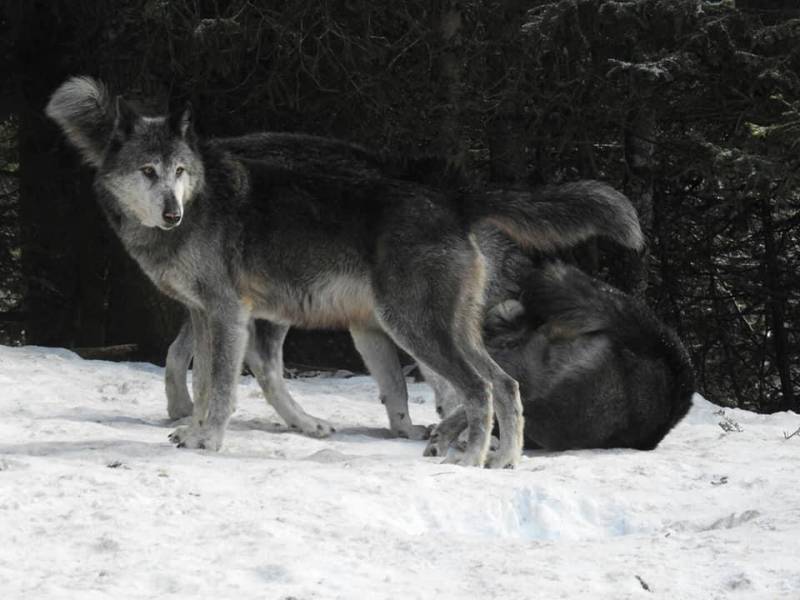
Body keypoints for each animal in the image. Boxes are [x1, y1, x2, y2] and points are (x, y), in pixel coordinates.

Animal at [45, 76, 644, 468]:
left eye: (180, 172)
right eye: (148, 172)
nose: (172, 212)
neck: (199, 204)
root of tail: (454, 196)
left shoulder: (226, 313)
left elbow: (221, 388)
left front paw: (208, 441)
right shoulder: (206, 314)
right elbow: (207, 378)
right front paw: (191, 432)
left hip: (412, 329)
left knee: (478, 390)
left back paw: (470, 459)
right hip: (435, 331)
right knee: (505, 385)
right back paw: (504, 462)